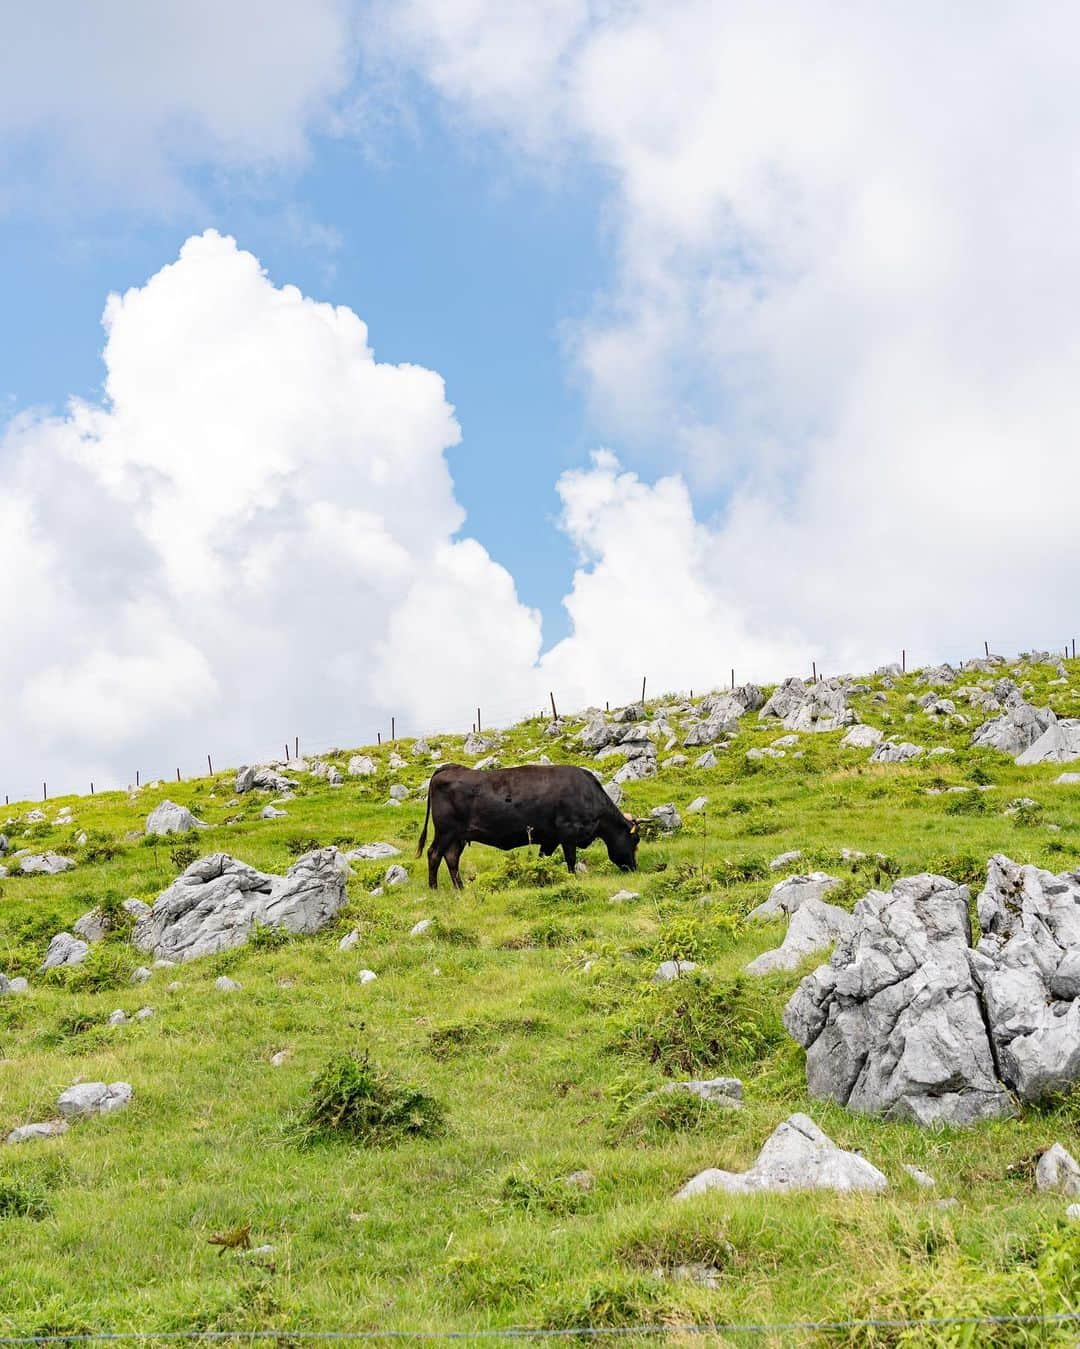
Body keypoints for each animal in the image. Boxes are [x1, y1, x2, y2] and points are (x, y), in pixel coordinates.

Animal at [415, 766, 641, 890]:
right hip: (445, 832)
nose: (634, 868)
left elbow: (543, 860)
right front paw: (572, 878)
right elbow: (570, 860)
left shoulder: (549, 839)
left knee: (451, 858)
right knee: (434, 854)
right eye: (635, 840)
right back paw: (434, 888)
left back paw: (460, 888)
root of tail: (449, 768)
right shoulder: (568, 833)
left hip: (458, 836)